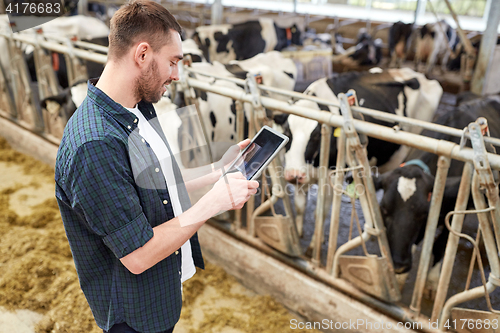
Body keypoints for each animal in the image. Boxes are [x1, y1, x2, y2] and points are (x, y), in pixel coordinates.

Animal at [276, 68, 444, 236]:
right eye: (287, 131)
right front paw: (298, 234)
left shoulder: (332, 176)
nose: (294, 174)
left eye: (317, 135)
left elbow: (320, 213)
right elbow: (299, 208)